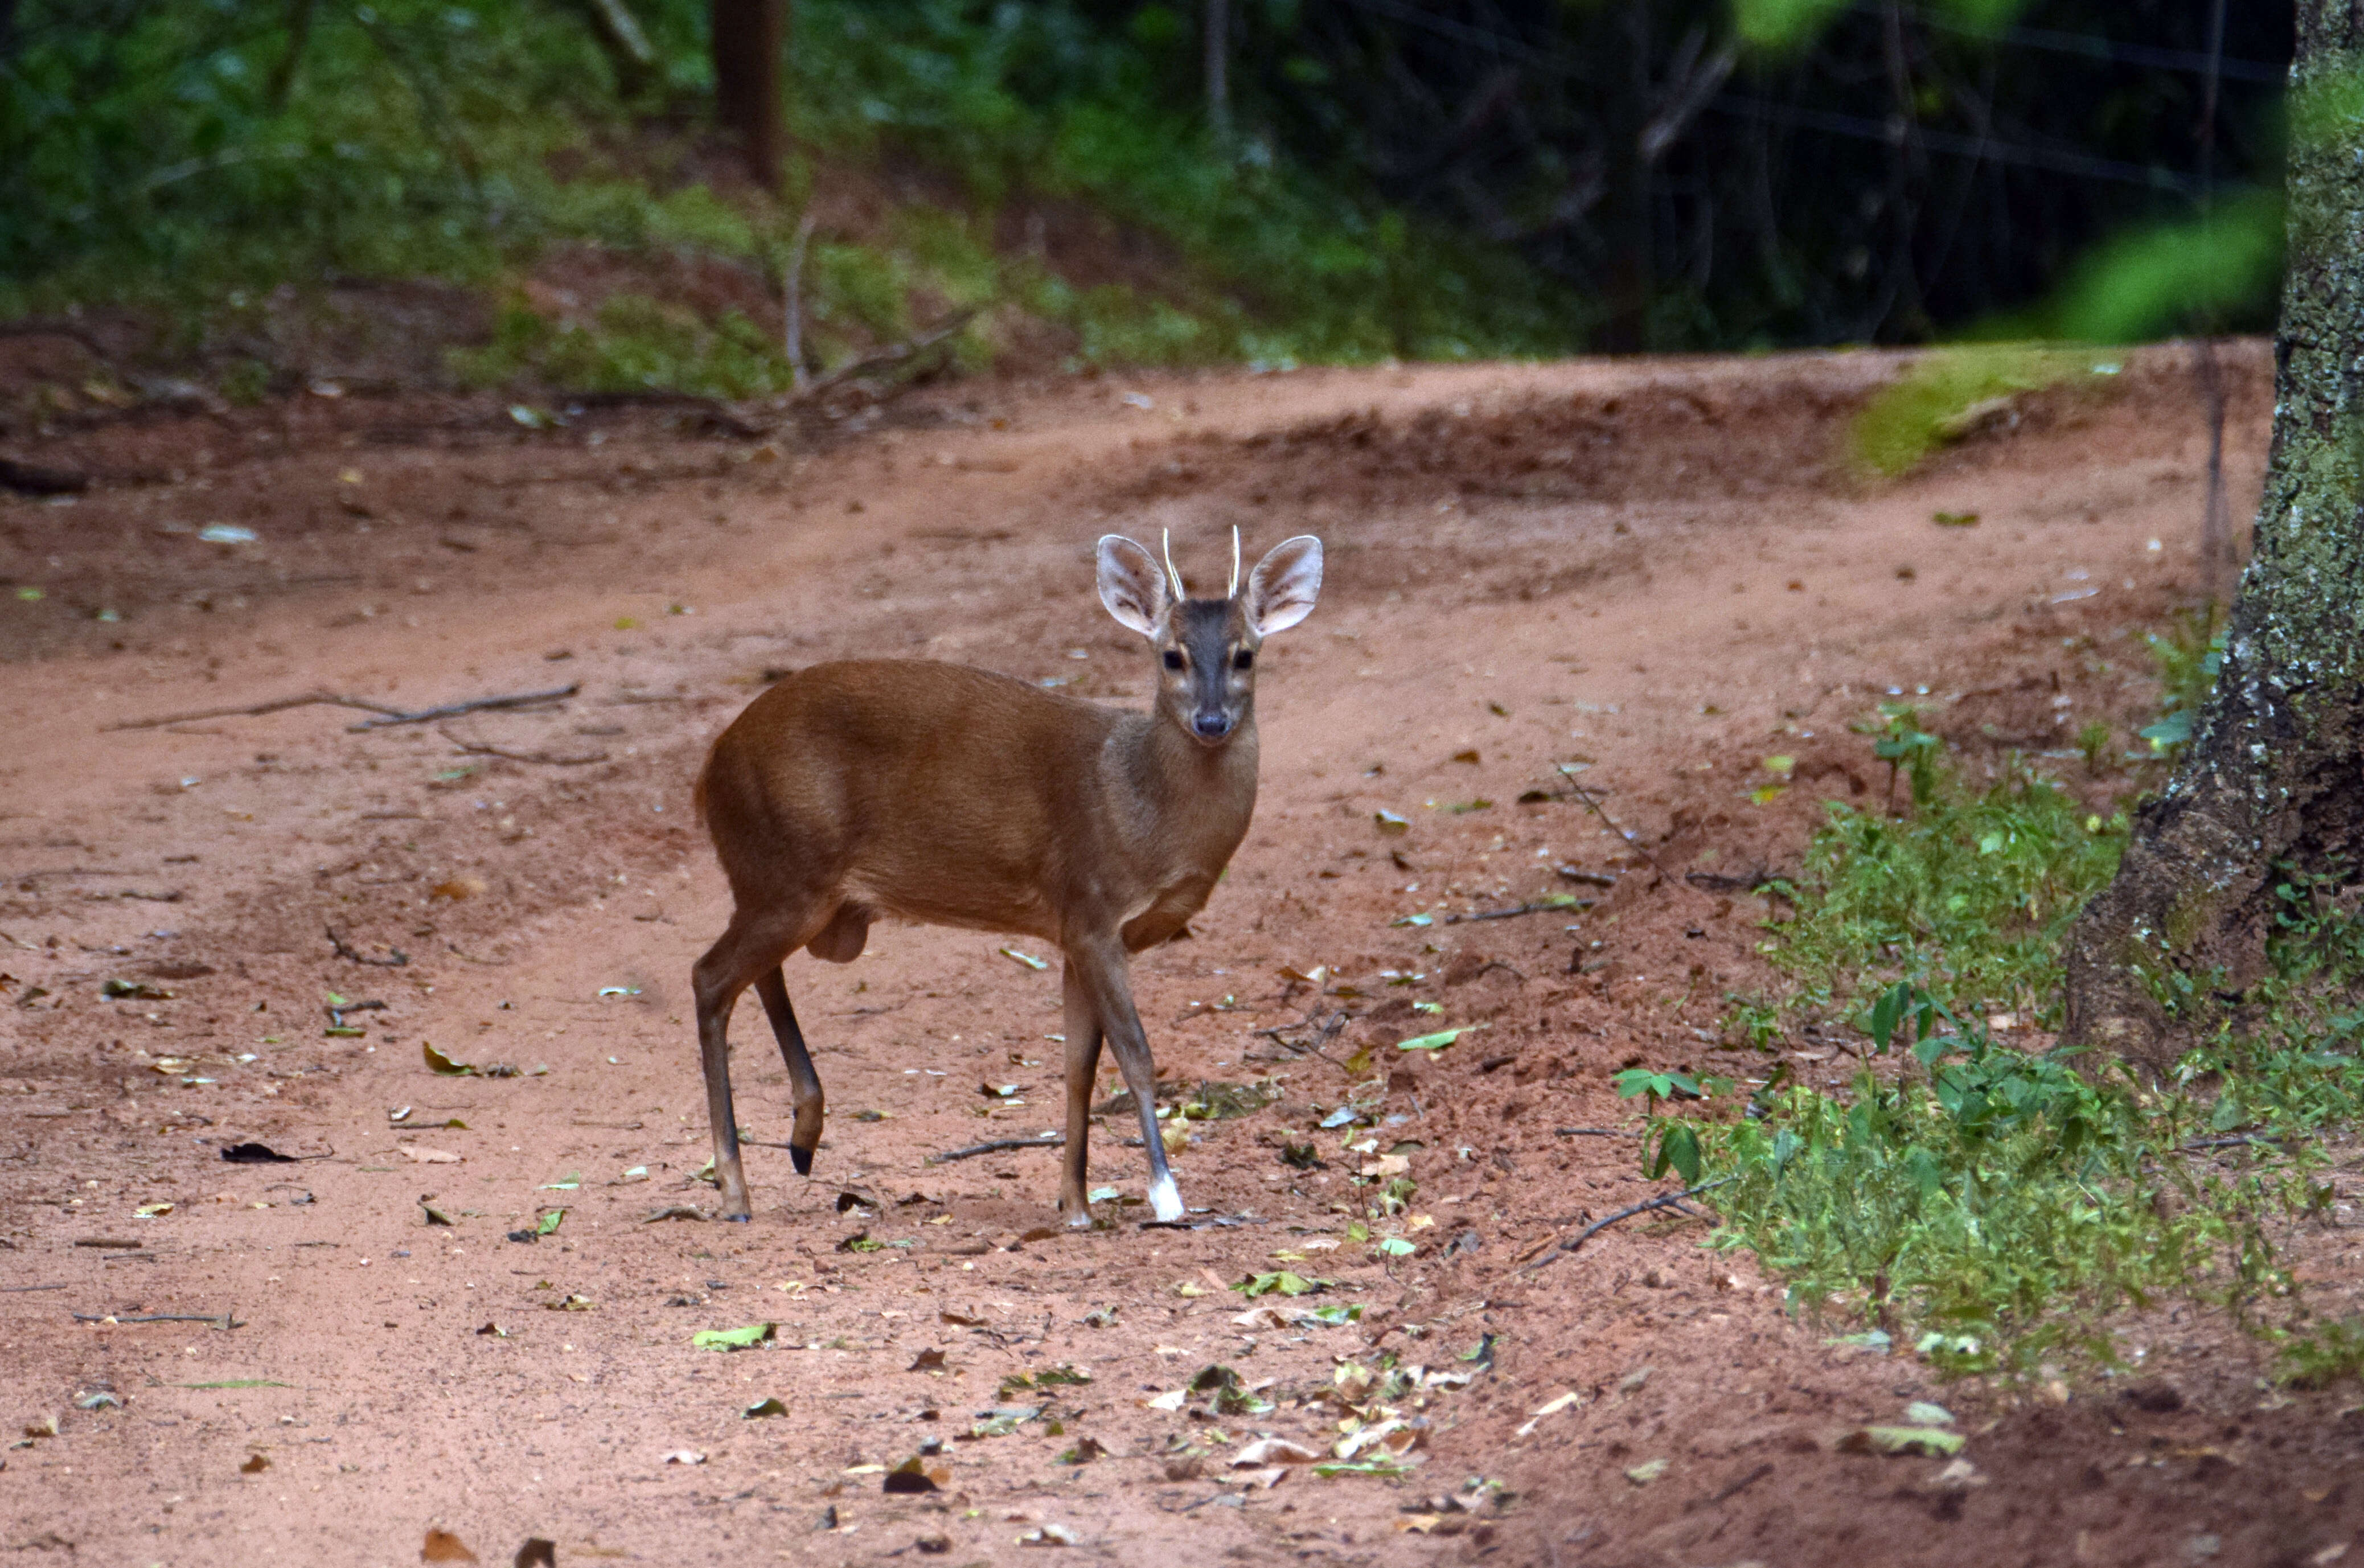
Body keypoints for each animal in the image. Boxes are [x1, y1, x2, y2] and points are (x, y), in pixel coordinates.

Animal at [686, 527, 1324, 1230]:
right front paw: (1166, 1195)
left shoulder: (1075, 933)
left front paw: (1075, 1204)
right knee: (710, 976)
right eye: (1172, 657)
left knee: (753, 972)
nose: (1212, 723)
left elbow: (1078, 1067)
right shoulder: (1092, 906)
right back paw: (735, 1189)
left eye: (1245, 655)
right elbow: (1136, 1056)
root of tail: (709, 767)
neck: (1139, 808)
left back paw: (804, 1134)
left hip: (798, 893)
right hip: (787, 871)